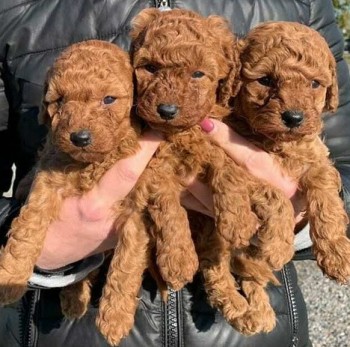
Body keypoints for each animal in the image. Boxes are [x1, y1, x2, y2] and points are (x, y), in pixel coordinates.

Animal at [227, 20, 350, 330]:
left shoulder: (318, 158)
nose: (294, 118)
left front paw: (337, 253)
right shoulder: (235, 163)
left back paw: (259, 313)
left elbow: (326, 196)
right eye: (265, 80)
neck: (280, 143)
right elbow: (274, 195)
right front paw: (279, 245)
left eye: (314, 84)